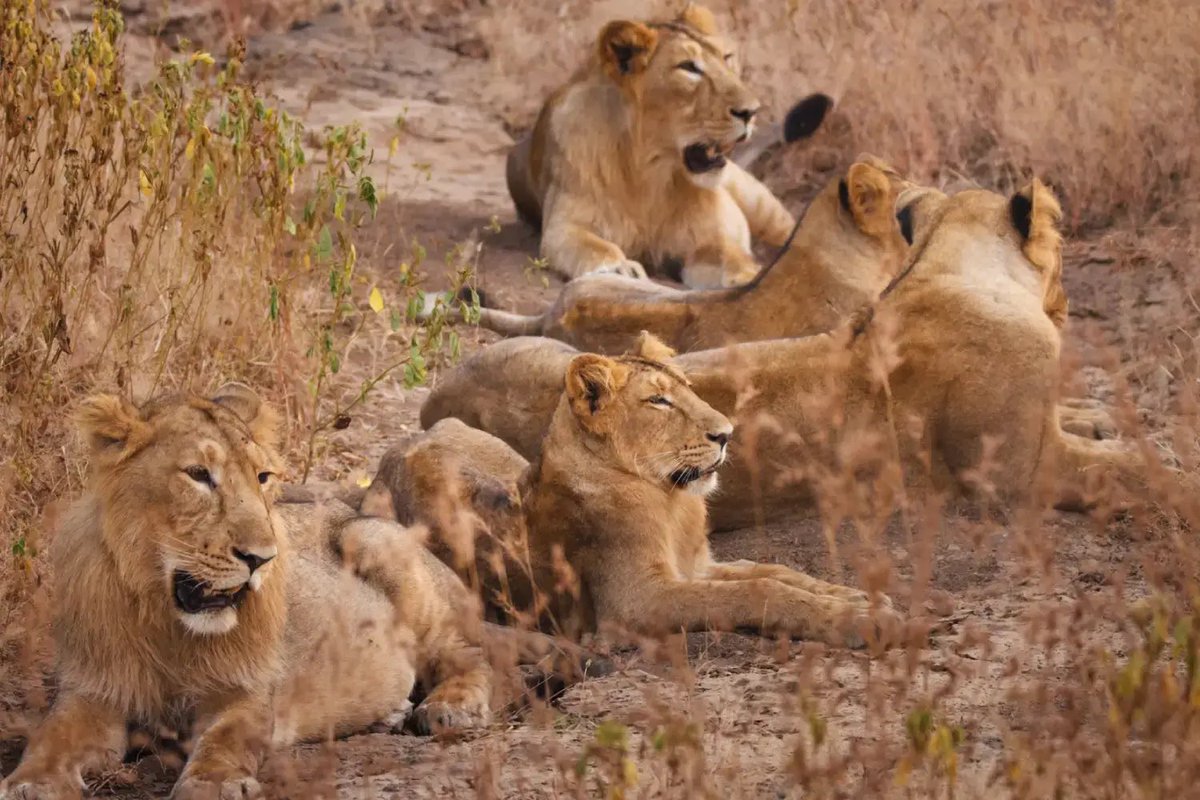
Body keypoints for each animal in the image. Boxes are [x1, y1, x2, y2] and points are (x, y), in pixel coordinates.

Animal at [0, 385, 556, 800]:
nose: (260, 559)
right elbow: (51, 736)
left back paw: (448, 706)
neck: (167, 623)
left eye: (263, 476)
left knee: (472, 655)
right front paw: (30, 782)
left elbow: (226, 738)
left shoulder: (246, 691)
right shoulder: (92, 691)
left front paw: (214, 783)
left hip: (377, 544)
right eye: (198, 475)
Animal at [374, 344, 894, 648]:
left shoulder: (697, 567)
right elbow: (755, 592)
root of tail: (395, 449)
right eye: (658, 400)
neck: (672, 502)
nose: (727, 433)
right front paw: (857, 620)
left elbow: (777, 573)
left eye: (688, 388)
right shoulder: (636, 602)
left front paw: (857, 598)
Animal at [422, 183, 1194, 531]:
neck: (947, 269)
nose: (1069, 301)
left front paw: (1099, 415)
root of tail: (436, 398)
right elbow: (1134, 471)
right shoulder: (1018, 474)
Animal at [506, 3, 830, 288]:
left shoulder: (708, 238)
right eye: (688, 67)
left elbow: (732, 258)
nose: (752, 111)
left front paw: (752, 277)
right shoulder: (564, 226)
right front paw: (621, 268)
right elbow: (595, 247)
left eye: (727, 57)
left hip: (758, 200)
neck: (650, 171)